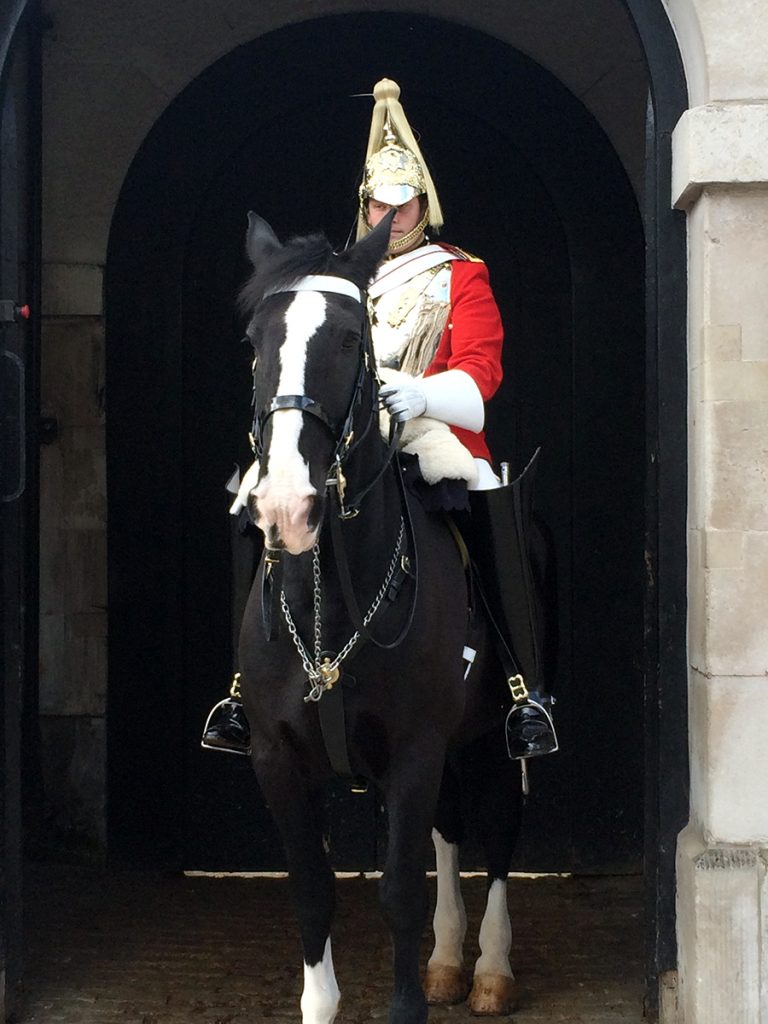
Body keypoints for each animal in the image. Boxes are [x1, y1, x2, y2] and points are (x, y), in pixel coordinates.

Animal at [237, 209, 528, 1024]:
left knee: (497, 830)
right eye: (255, 340)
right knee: (450, 831)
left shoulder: (413, 749)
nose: (287, 505)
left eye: (347, 339)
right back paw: (447, 962)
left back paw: (490, 969)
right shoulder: (276, 759)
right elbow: (312, 896)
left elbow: (399, 891)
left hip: (493, 737)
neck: (334, 599)